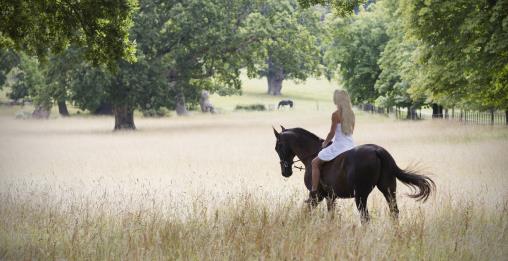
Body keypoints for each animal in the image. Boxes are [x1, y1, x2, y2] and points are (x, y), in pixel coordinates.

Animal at [272, 125, 434, 221]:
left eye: (277, 147)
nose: (285, 172)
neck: (312, 154)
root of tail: (377, 150)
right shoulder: (330, 196)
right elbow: (331, 216)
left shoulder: (316, 195)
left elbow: (307, 211)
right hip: (388, 189)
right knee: (394, 212)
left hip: (361, 195)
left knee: (365, 217)